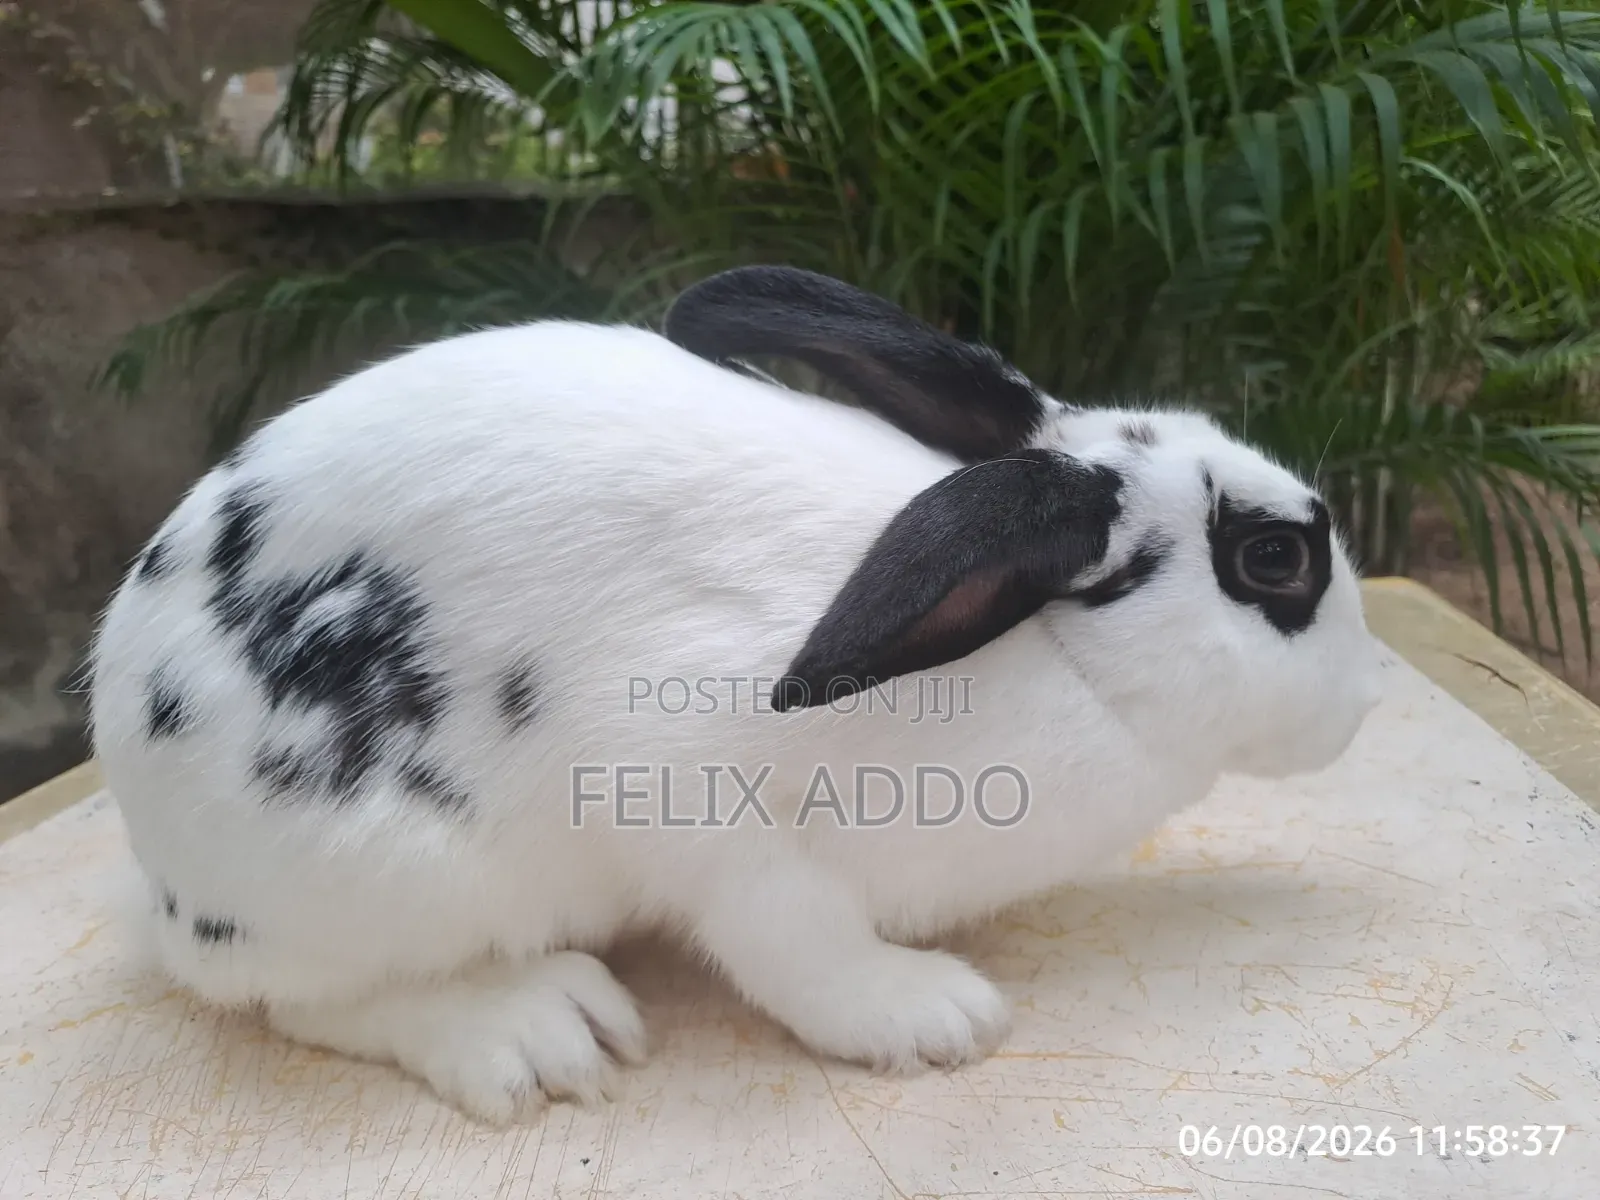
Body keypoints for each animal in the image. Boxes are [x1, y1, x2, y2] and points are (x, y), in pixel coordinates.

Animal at [87, 264, 1385, 1125]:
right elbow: (791, 939)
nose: (1370, 698)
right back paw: (535, 1033)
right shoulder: (694, 802)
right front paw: (930, 1015)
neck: (1052, 654)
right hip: (385, 874)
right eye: (1275, 560)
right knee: (287, 994)